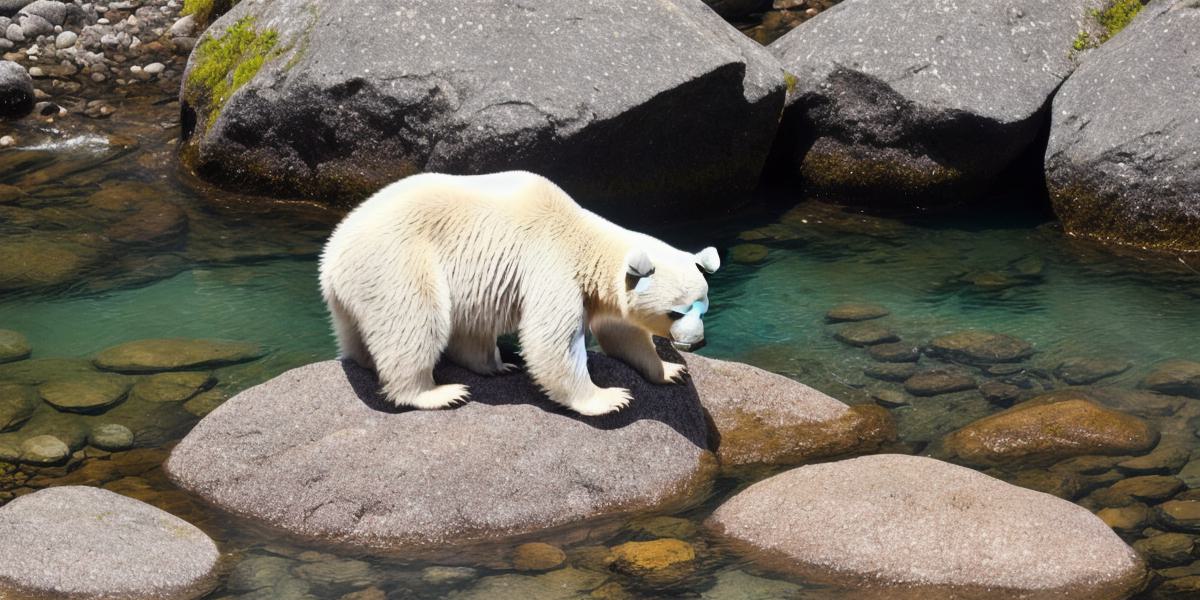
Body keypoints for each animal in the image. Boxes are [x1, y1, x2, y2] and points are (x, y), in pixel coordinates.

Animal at [316, 169, 720, 415]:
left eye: (702, 308)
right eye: (675, 312)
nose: (698, 342)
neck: (586, 239)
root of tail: (331, 256)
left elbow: (622, 332)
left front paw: (669, 371)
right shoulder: (553, 264)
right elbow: (551, 342)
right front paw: (609, 398)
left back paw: (494, 365)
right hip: (398, 260)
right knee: (416, 321)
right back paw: (436, 392)